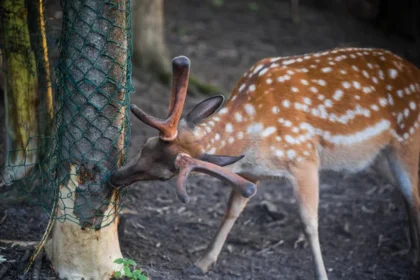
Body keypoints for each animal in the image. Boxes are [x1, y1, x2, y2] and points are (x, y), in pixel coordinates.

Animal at [110, 48, 420, 280]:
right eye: (146, 145)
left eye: (166, 175)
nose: (114, 178)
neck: (256, 139)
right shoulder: (251, 172)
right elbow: (232, 210)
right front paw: (201, 263)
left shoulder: (305, 158)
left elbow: (309, 222)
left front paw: (322, 274)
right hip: (380, 159)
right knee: (407, 195)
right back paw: (410, 252)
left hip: (408, 140)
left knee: (414, 195)